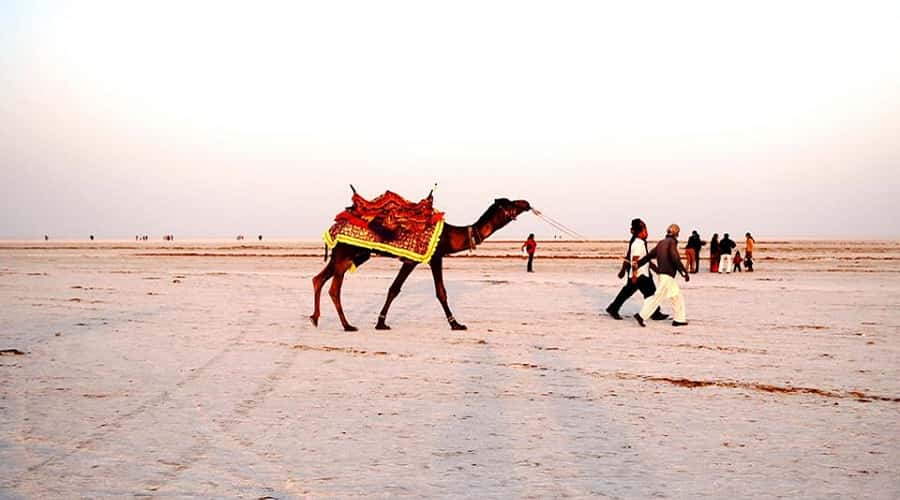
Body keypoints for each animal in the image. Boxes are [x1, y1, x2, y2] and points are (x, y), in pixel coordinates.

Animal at [312, 198, 532, 332]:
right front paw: (456, 324)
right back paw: (347, 325)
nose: (526, 202)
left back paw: (315, 318)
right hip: (346, 252)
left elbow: (395, 289)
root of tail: (333, 227)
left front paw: (381, 322)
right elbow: (438, 292)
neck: (450, 235)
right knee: (333, 288)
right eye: (510, 203)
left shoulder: (425, 258)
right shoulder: (426, 257)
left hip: (350, 254)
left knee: (318, 279)